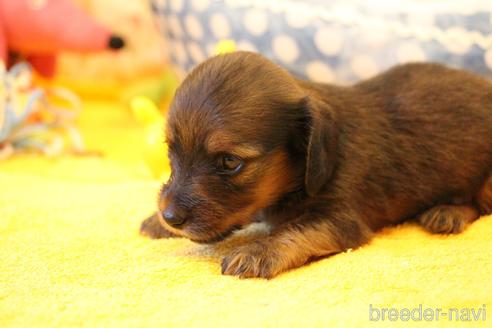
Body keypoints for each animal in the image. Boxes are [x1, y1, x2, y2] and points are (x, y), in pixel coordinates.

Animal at [138, 52, 492, 278]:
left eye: (229, 162)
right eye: (170, 151)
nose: (171, 216)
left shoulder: (340, 218)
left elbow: (295, 230)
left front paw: (258, 250)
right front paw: (157, 222)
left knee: (479, 203)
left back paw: (447, 212)